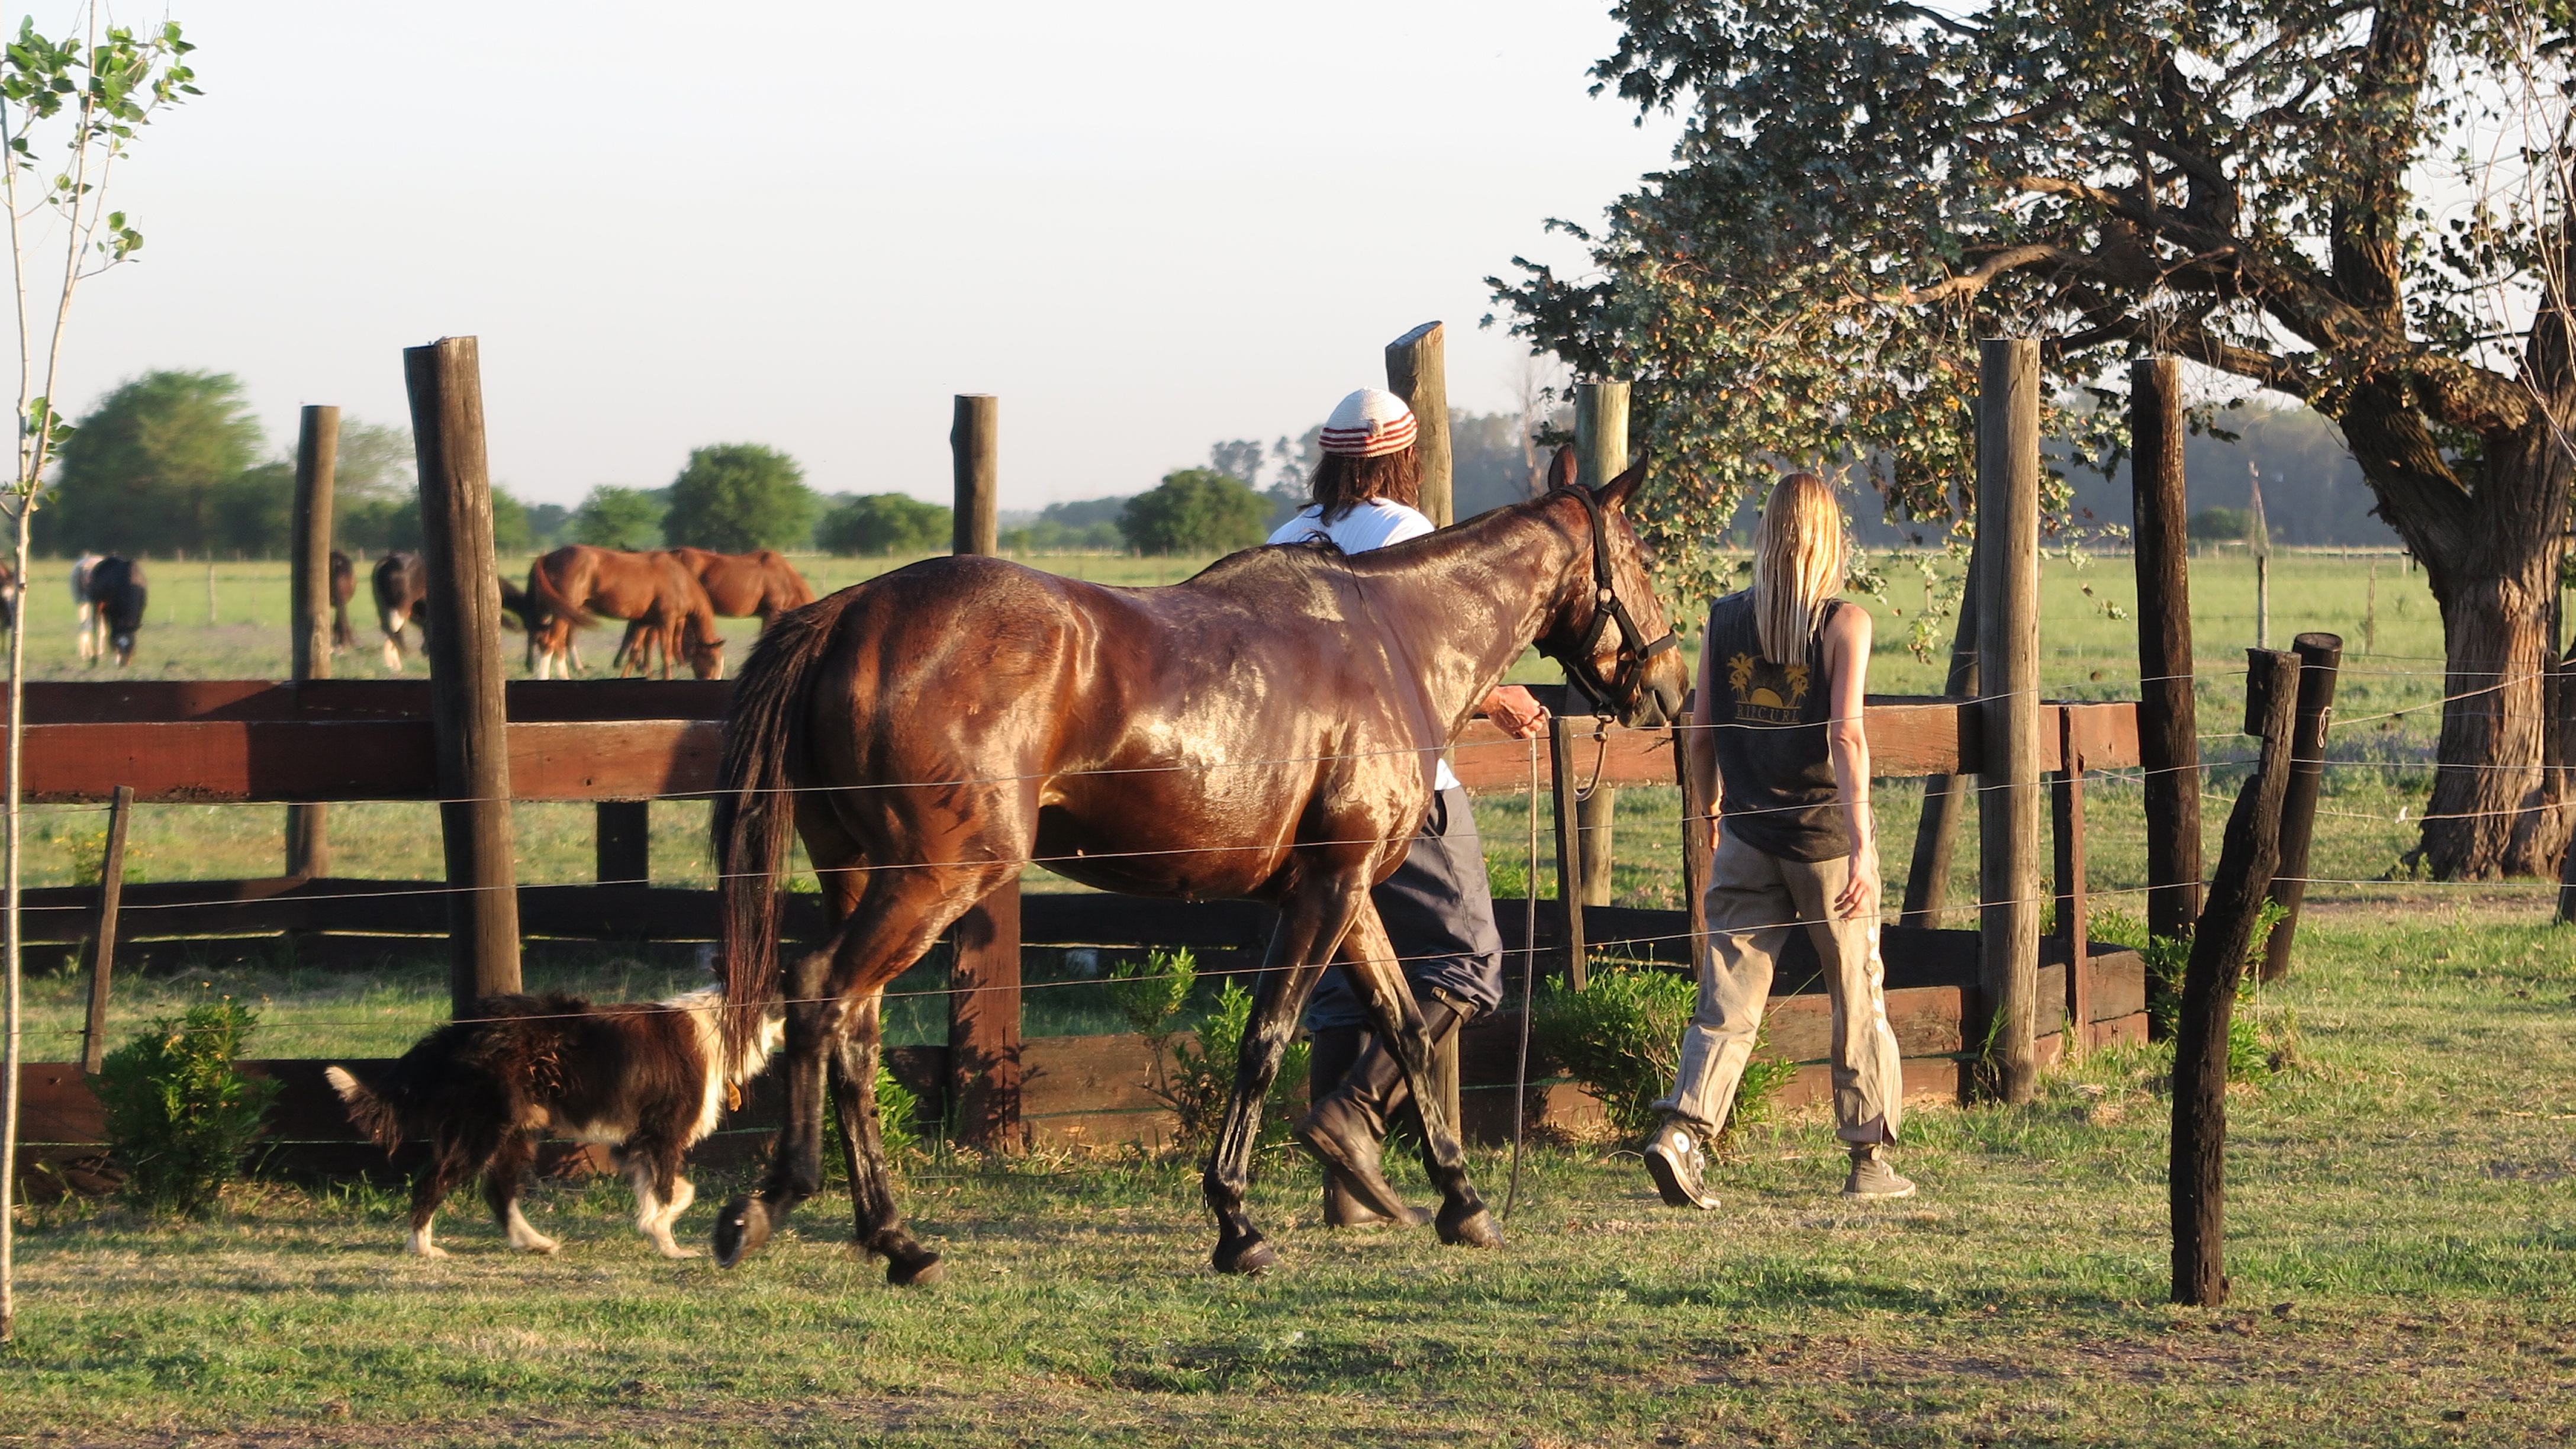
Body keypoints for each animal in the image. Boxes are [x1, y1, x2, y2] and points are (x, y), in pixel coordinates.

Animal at [80, 556, 147, 667]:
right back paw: (95, 658)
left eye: (131, 645)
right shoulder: (112, 611)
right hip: (98, 604)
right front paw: (115, 658)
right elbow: (112, 633)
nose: (124, 664)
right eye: (117, 645)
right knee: (97, 628)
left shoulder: (140, 610)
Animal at [526, 545, 724, 680]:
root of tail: (547, 557)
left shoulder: (644, 622)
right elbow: (666, 652)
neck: (679, 581)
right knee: (550, 644)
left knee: (554, 644)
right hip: (562, 613)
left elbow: (635, 651)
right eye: (713, 660)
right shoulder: (667, 620)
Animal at [706, 454, 1685, 1281]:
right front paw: (1236, 1224)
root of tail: (846, 616)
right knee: (820, 992)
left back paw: (885, 1235)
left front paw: (1464, 1203)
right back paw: (792, 1208)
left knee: (854, 1028)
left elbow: (1405, 1029)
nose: (1668, 688)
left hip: (864, 878)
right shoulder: (1328, 893)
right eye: (1642, 553)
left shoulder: (1345, 894)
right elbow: (1268, 1041)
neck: (1392, 637)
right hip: (935, 882)